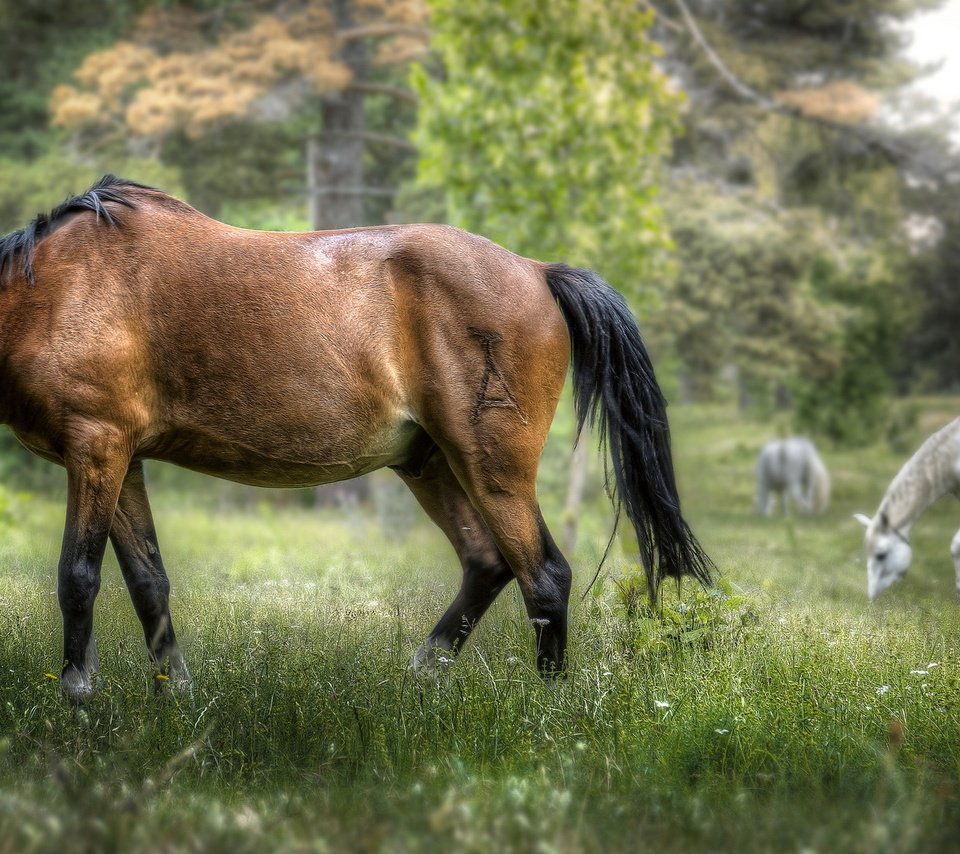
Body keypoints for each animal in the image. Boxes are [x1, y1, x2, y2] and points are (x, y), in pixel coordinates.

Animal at [0, 176, 704, 704]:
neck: (52, 289)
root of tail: (537, 270)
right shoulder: (121, 458)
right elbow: (149, 582)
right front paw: (176, 699)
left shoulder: (95, 447)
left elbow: (78, 577)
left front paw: (78, 703)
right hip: (429, 464)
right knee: (488, 563)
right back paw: (417, 677)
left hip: (492, 467)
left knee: (545, 576)